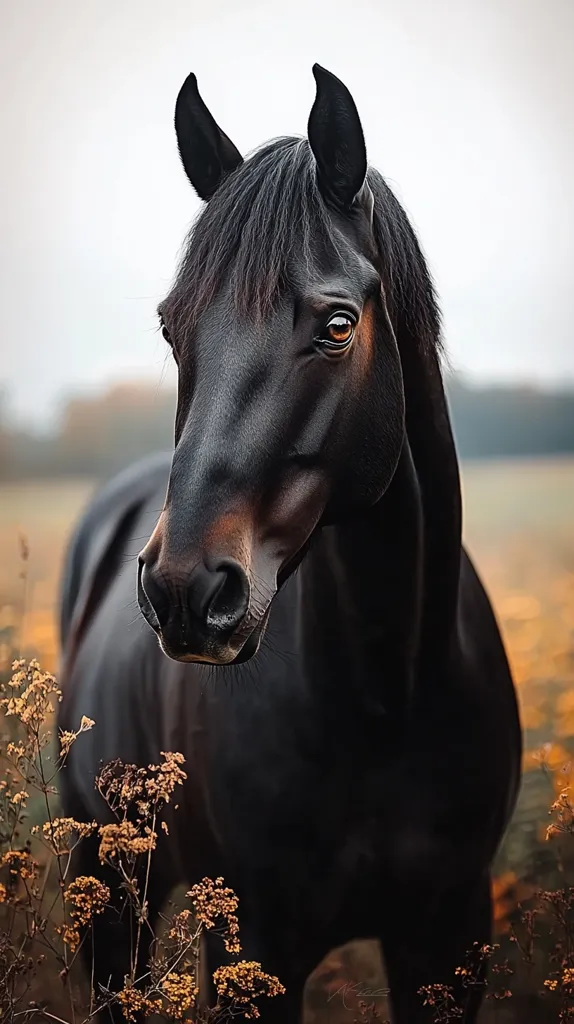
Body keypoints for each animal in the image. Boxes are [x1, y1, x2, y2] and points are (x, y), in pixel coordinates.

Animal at [58, 64, 521, 1023]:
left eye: (338, 324)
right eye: (171, 327)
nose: (186, 593)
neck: (387, 698)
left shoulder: (452, 935)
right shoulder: (256, 946)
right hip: (110, 893)